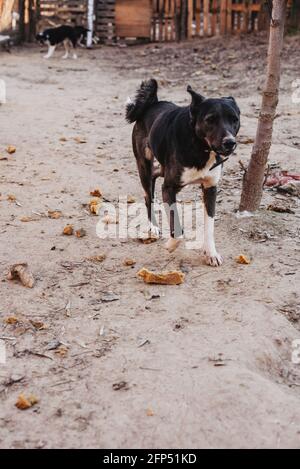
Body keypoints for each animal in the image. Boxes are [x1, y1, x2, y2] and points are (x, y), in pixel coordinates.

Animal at [125, 80, 240, 266]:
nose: (230, 142)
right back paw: (153, 226)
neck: (200, 146)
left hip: (164, 170)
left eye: (235, 119)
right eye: (210, 119)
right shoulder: (169, 188)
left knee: (155, 176)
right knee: (148, 195)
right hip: (144, 165)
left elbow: (209, 225)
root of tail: (153, 103)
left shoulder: (211, 188)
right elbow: (177, 228)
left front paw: (211, 253)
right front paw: (170, 245)